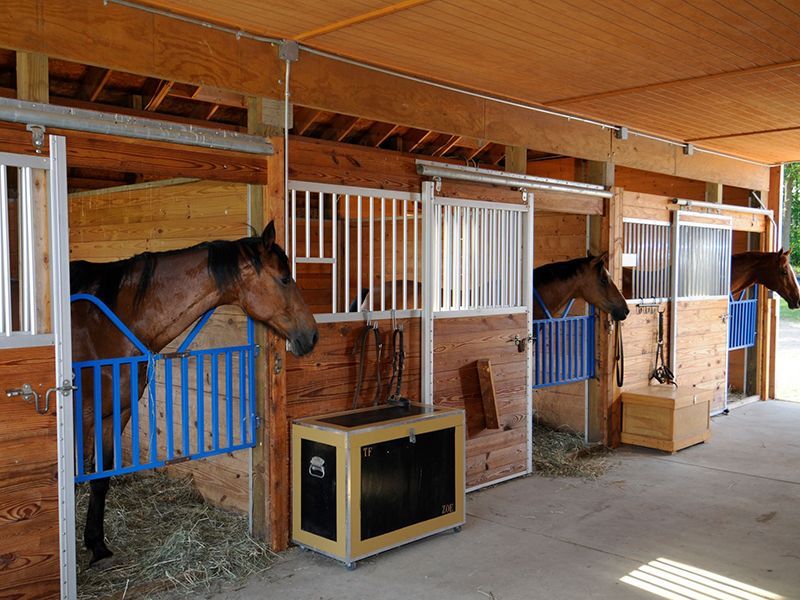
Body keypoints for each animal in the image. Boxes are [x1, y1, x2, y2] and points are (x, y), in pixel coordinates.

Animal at [70, 221, 318, 567]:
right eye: (284, 278)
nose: (312, 335)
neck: (104, 325)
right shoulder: (79, 417)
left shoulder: (115, 413)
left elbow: (100, 479)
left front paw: (97, 545)